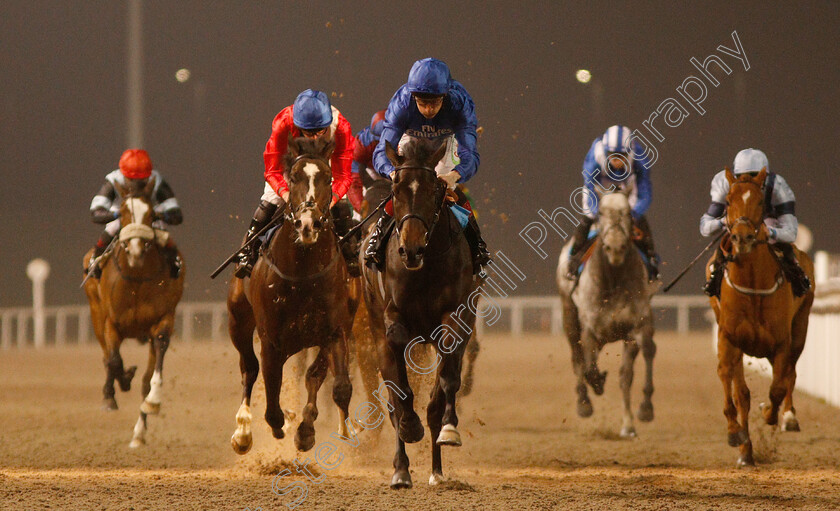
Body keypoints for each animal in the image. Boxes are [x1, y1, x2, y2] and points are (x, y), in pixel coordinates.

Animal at [81, 178, 185, 450]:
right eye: (125, 212)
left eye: (150, 214)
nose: (136, 250)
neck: (137, 277)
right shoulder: (111, 322)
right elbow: (114, 360)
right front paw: (116, 389)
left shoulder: (163, 319)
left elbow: (150, 375)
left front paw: (152, 401)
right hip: (95, 312)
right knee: (107, 356)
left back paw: (139, 432)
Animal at [226, 137, 354, 456]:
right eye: (294, 177)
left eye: (328, 177)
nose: (308, 224)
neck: (303, 274)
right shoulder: (271, 340)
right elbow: (271, 398)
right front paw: (280, 424)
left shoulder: (336, 330)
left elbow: (336, 385)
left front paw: (310, 431)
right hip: (238, 322)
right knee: (249, 369)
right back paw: (243, 432)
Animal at [360, 138, 480, 490]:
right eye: (396, 190)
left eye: (433, 189)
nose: (411, 250)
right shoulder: (391, 317)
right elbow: (399, 384)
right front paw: (410, 425)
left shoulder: (457, 316)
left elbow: (448, 381)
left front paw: (450, 428)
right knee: (392, 403)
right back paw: (401, 469)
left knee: (433, 402)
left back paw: (437, 471)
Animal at [556, 190, 660, 438]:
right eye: (601, 213)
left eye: (628, 213)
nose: (615, 247)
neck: (613, 279)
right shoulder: (589, 330)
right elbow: (588, 367)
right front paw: (595, 386)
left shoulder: (638, 325)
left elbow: (635, 365)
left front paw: (641, 412)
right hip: (569, 314)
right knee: (577, 359)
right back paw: (584, 402)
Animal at [708, 168, 812, 468]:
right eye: (728, 201)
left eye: (759, 202)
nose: (741, 238)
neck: (753, 285)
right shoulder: (729, 338)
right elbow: (732, 385)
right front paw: (737, 436)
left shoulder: (781, 342)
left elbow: (777, 387)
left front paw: (771, 413)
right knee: (742, 390)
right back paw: (746, 450)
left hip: (800, 329)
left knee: (790, 373)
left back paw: (788, 416)